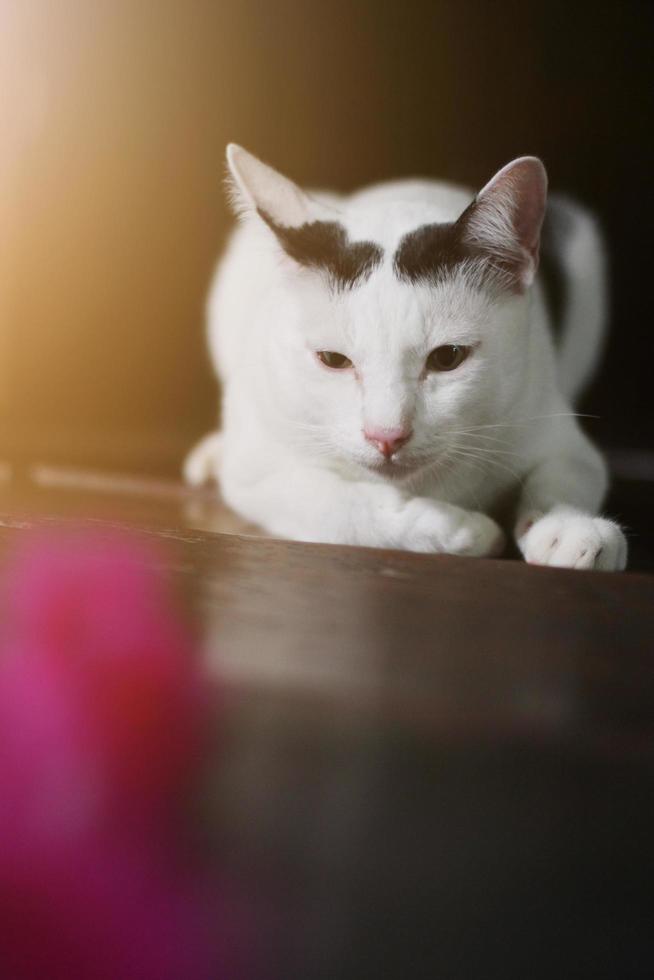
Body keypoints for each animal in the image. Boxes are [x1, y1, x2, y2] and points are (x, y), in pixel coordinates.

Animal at [186, 143, 632, 572]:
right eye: (333, 359)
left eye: (448, 358)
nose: (386, 436)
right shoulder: (257, 469)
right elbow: (338, 506)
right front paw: (458, 530)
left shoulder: (547, 415)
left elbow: (568, 474)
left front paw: (569, 527)